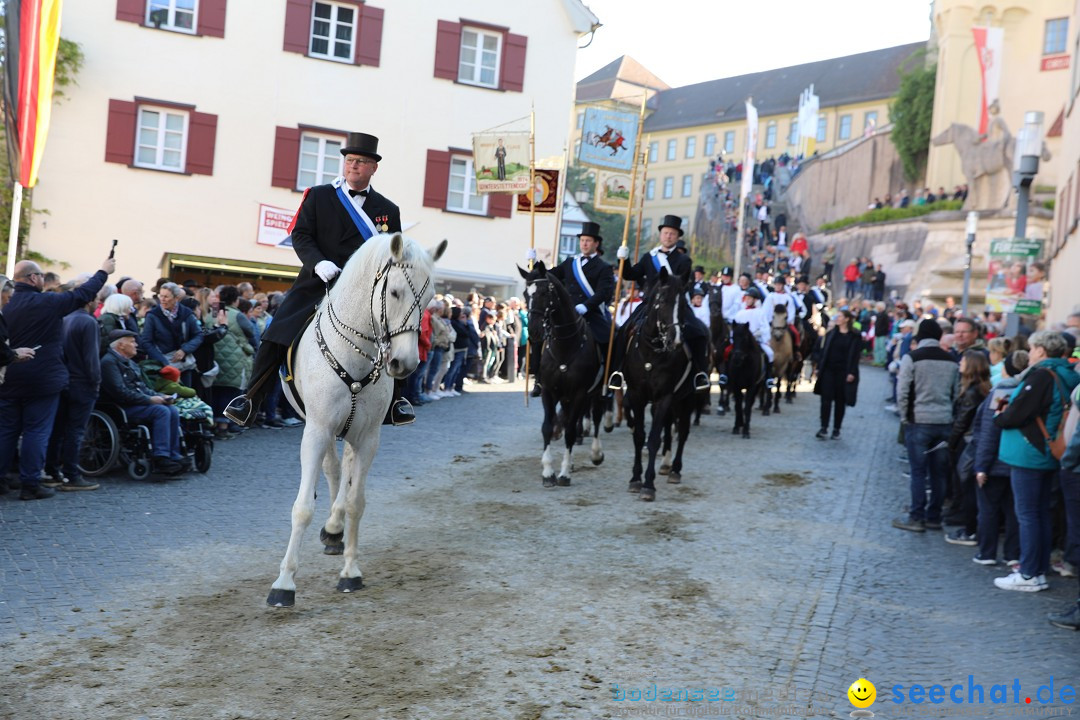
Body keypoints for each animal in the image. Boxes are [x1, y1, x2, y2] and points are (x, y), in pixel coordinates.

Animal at [267, 234, 449, 604]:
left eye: (429, 298)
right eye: (395, 292)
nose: (406, 363)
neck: (356, 354)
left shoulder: (368, 438)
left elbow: (355, 502)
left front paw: (350, 572)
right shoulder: (317, 429)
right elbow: (303, 506)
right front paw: (284, 584)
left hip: (351, 430)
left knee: (345, 471)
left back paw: (335, 530)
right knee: (332, 468)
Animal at [516, 262, 604, 487]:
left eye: (545, 293)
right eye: (526, 294)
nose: (534, 332)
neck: (566, 344)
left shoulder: (580, 393)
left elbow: (571, 431)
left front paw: (564, 474)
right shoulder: (549, 391)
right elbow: (547, 427)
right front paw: (548, 472)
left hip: (596, 392)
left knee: (596, 417)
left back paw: (596, 453)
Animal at [622, 268, 695, 500]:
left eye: (684, 304)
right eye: (662, 301)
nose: (676, 340)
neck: (651, 353)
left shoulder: (665, 397)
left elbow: (654, 438)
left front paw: (648, 485)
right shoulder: (636, 394)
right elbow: (639, 436)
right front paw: (635, 479)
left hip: (688, 398)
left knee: (683, 431)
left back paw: (675, 469)